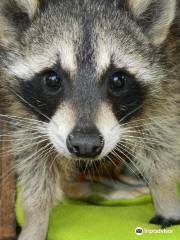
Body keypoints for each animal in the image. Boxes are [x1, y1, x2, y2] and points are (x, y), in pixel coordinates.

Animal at [0, 0, 179, 239]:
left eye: (118, 80)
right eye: (52, 79)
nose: (85, 145)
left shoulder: (169, 73)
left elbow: (161, 138)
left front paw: (165, 192)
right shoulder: (20, 105)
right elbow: (35, 158)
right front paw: (35, 217)